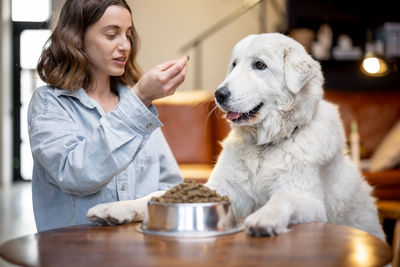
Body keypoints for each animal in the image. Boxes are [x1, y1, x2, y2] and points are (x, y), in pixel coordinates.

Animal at [87, 33, 384, 241]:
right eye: (234, 64)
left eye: (260, 65)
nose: (219, 94)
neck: (264, 147)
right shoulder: (224, 191)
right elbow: (155, 194)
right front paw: (114, 209)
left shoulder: (309, 201)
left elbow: (283, 198)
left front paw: (264, 219)